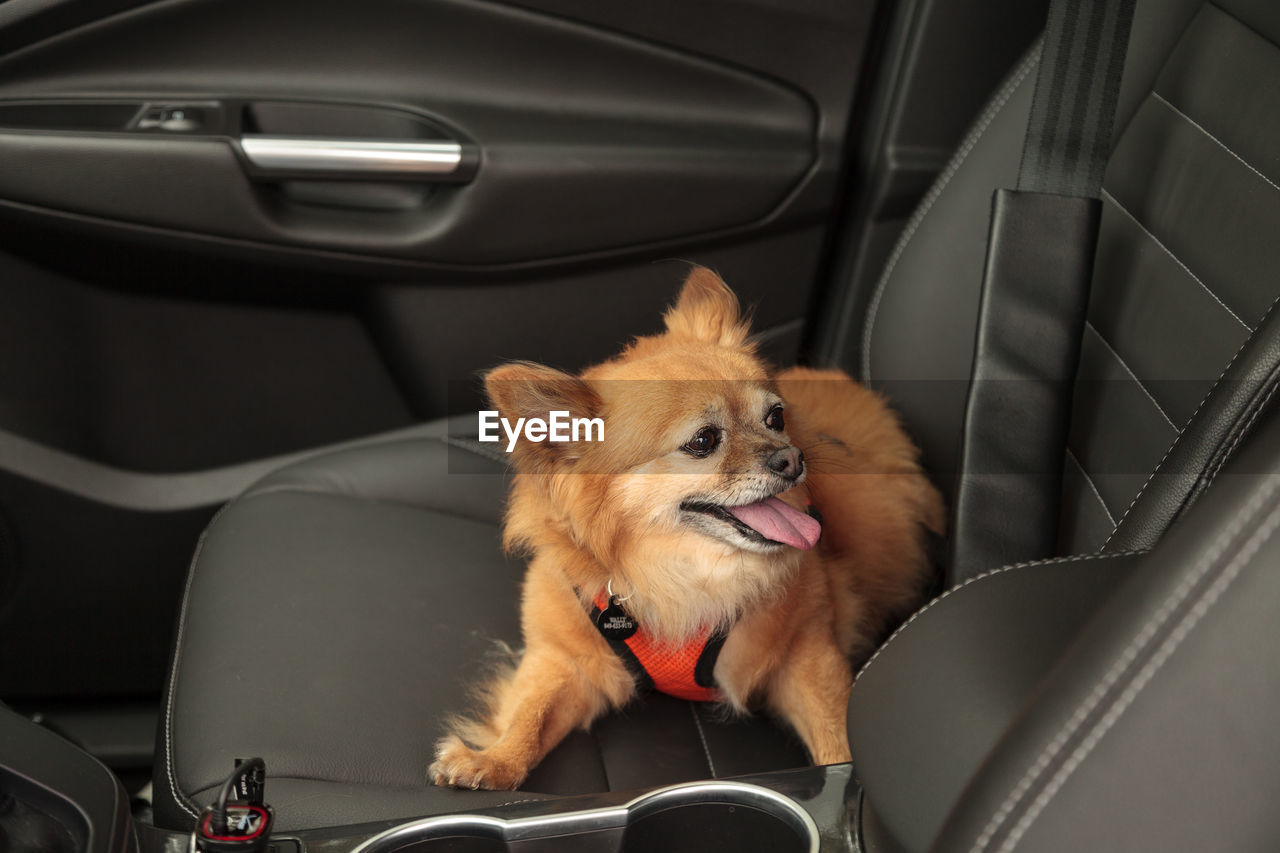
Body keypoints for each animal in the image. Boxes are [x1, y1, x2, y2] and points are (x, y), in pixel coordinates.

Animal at [435, 267, 947, 788]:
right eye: (703, 441)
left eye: (776, 417)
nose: (792, 458)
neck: (684, 577)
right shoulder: (564, 660)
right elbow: (530, 716)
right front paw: (493, 760)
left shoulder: (808, 656)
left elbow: (835, 739)